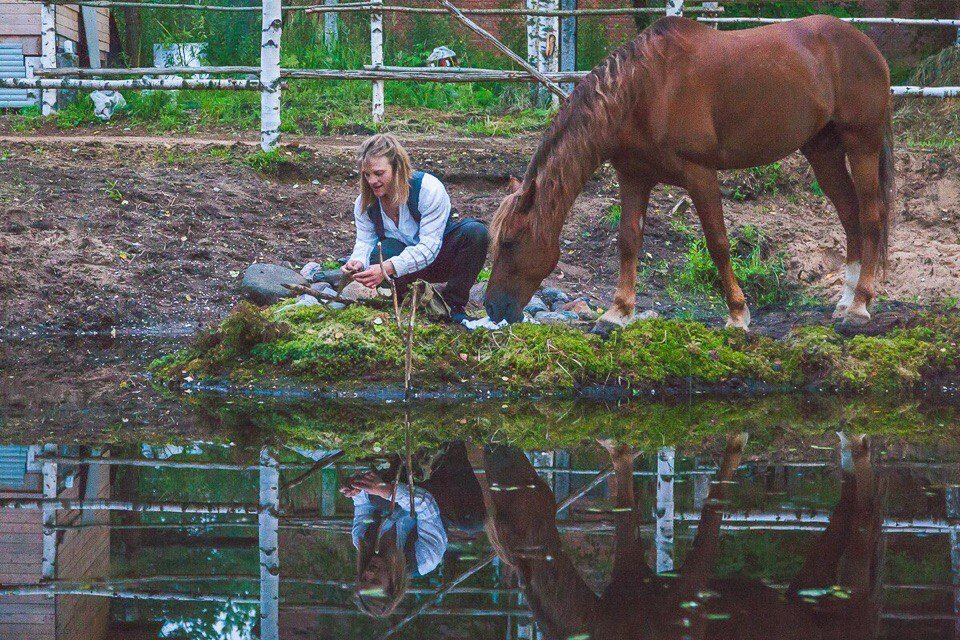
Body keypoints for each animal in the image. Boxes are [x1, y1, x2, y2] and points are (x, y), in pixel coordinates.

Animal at [480, 436, 884, 640]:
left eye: (501, 518)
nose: (492, 447)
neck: (595, 618)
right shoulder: (630, 576)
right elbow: (623, 478)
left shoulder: (687, 596)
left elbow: (715, 501)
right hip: (807, 591)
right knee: (846, 504)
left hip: (846, 602)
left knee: (864, 516)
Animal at [484, 15, 896, 330]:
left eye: (511, 242)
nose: (491, 307)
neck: (646, 89)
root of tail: (870, 48)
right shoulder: (634, 177)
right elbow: (628, 241)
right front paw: (617, 313)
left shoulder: (700, 175)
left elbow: (718, 244)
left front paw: (737, 314)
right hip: (823, 152)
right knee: (850, 216)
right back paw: (844, 301)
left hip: (862, 145)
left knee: (871, 216)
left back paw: (860, 305)